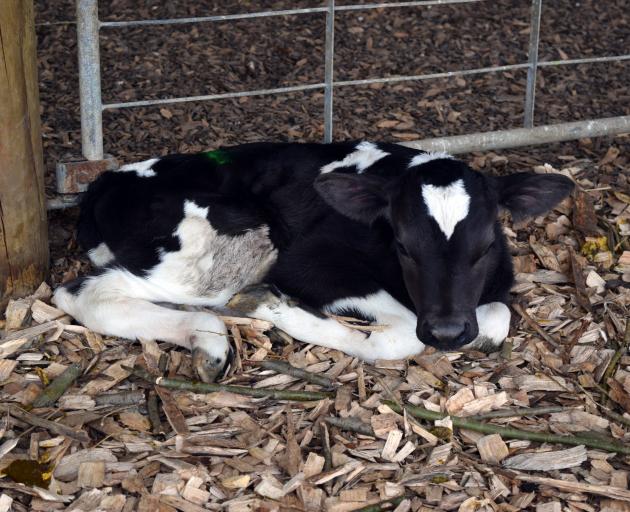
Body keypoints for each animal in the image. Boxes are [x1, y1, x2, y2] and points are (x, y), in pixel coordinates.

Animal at [54, 142, 576, 382]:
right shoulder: (307, 263)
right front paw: (273, 307)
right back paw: (211, 338)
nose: (446, 331)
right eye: (403, 245)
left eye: (485, 245)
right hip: (231, 244)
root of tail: (104, 180)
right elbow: (400, 336)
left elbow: (498, 315)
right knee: (83, 291)